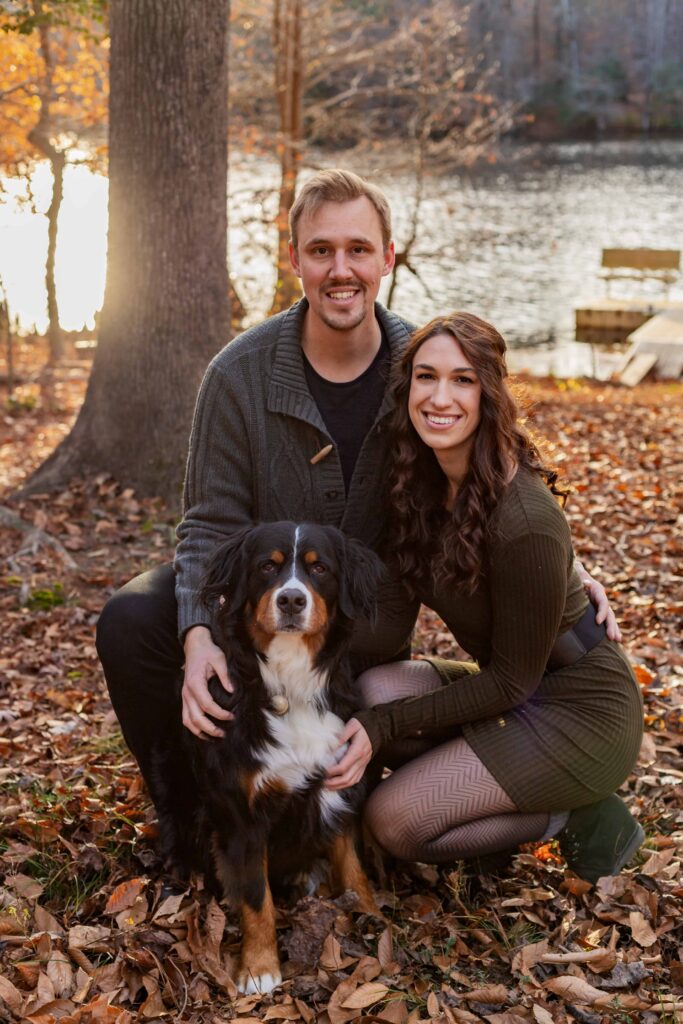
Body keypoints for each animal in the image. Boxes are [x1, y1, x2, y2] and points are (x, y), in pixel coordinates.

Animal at [157, 520, 387, 991]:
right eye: (267, 567)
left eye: (319, 568)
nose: (292, 599)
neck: (288, 679)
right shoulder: (240, 812)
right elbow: (254, 896)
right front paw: (259, 968)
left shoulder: (336, 784)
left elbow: (353, 867)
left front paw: (368, 916)